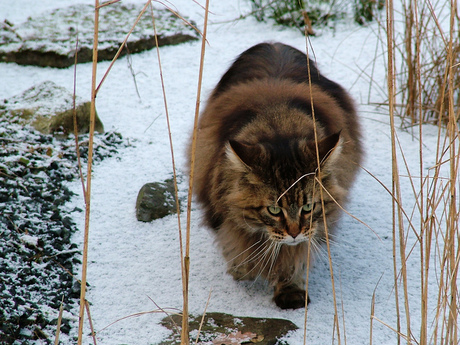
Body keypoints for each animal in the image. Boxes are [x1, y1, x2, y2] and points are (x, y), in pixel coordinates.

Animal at [190, 42, 362, 310]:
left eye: (308, 207)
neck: (279, 127)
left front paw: (290, 290)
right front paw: (244, 269)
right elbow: (237, 246)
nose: (294, 233)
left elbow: (295, 258)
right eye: (273, 210)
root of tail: (274, 44)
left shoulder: (313, 228)